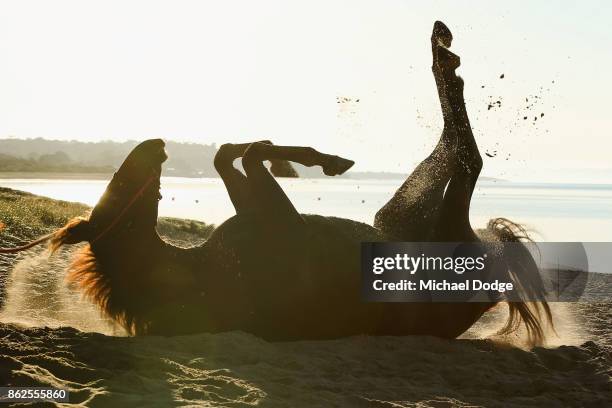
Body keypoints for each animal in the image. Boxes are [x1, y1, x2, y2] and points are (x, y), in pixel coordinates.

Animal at [4, 21, 552, 344]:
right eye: (118, 189)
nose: (155, 144)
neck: (196, 272)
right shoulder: (275, 218)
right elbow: (245, 157)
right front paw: (309, 159)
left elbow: (233, 152)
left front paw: (312, 158)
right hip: (441, 230)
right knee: (465, 157)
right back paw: (444, 56)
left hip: (397, 219)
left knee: (450, 153)